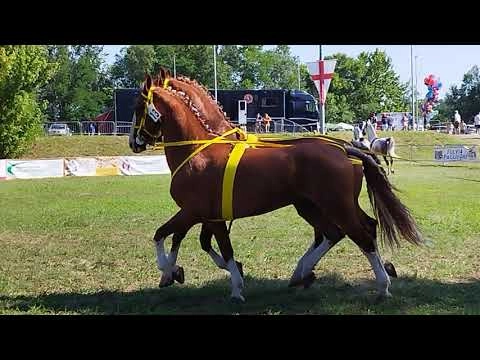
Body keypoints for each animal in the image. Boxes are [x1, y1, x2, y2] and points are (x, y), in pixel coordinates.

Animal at [129, 75, 422, 300]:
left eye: (138, 107)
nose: (134, 142)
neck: (198, 151)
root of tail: (345, 148)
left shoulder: (195, 212)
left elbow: (170, 236)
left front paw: (235, 287)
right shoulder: (207, 216)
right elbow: (188, 240)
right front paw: (173, 272)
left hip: (335, 205)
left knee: (359, 235)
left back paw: (382, 286)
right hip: (315, 205)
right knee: (347, 230)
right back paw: (303, 274)